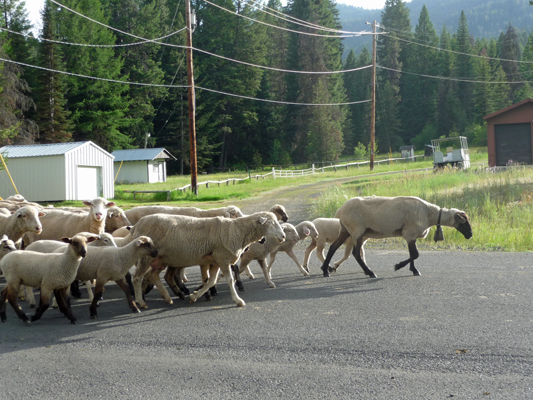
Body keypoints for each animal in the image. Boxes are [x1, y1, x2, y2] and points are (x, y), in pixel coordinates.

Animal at [129, 212, 284, 310]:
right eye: (271, 223)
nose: (283, 236)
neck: (237, 231)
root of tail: (136, 226)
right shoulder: (223, 258)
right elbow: (229, 280)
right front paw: (238, 300)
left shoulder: (216, 261)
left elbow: (211, 280)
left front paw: (195, 296)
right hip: (147, 256)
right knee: (137, 278)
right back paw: (141, 302)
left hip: (160, 258)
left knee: (153, 275)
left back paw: (168, 297)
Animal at [318, 196, 472, 278]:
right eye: (464, 221)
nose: (470, 235)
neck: (430, 214)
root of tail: (340, 211)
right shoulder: (410, 232)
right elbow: (415, 254)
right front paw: (398, 266)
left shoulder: (411, 235)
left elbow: (412, 254)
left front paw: (414, 270)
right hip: (357, 230)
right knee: (355, 253)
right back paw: (370, 272)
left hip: (346, 229)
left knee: (333, 247)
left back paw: (326, 270)